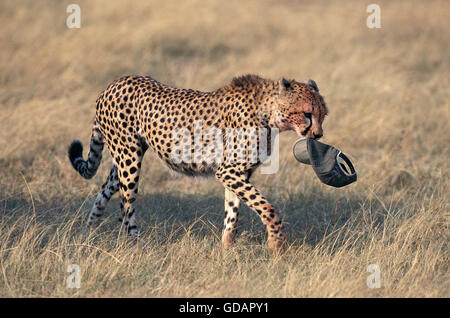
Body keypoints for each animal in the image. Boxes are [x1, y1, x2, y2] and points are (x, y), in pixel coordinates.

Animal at [67, 74, 326, 253]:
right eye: (307, 114)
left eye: (323, 115)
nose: (318, 135)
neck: (268, 113)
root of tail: (112, 84)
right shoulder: (228, 171)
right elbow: (267, 207)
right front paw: (277, 244)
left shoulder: (238, 174)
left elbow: (233, 214)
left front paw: (226, 250)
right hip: (128, 159)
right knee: (126, 205)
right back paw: (134, 244)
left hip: (123, 158)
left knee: (105, 192)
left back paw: (90, 234)